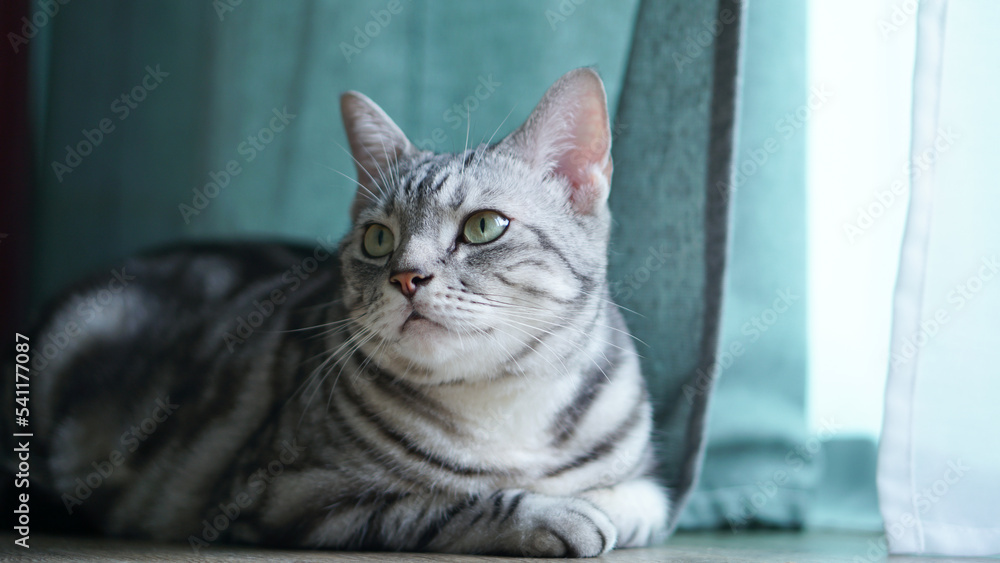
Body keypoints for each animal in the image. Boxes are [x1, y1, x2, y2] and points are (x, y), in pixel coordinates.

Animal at [19, 68, 668, 556]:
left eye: (484, 226)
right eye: (378, 239)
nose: (407, 276)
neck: (503, 405)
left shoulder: (648, 486)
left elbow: (642, 499)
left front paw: (595, 502)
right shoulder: (287, 494)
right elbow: (442, 503)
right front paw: (552, 513)